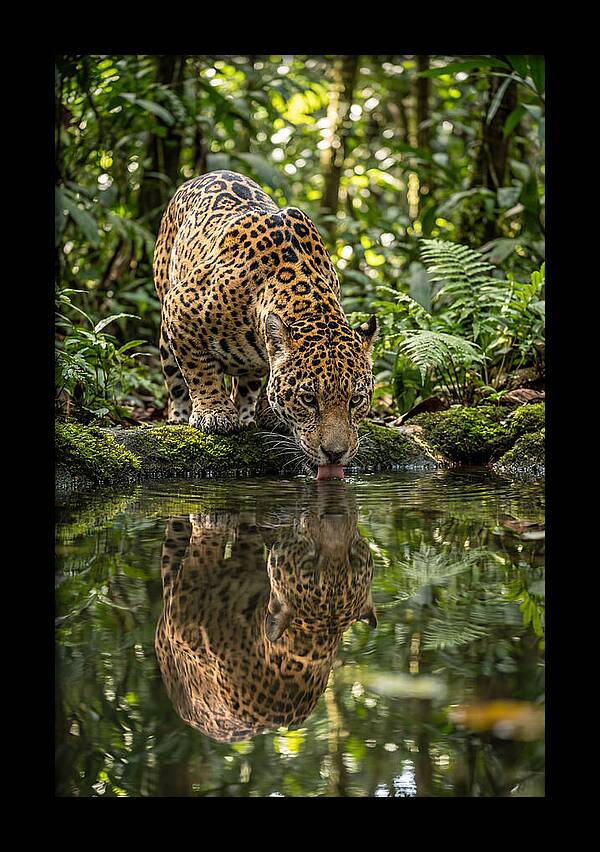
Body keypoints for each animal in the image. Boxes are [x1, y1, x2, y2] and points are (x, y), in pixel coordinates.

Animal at [153, 170, 378, 471]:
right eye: (309, 400)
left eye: (356, 400)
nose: (335, 454)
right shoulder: (179, 306)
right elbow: (199, 370)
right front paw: (214, 413)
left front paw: (269, 414)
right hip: (165, 319)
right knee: (175, 379)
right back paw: (179, 415)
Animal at [154, 484, 377, 742]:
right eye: (311, 562)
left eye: (353, 558)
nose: (335, 515)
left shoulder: (182, 614)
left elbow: (204, 550)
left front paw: (211, 520)